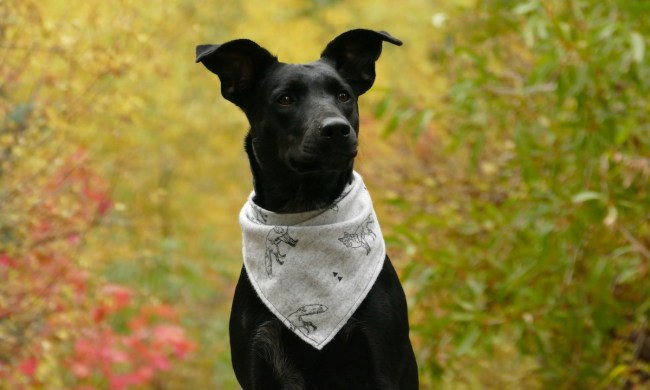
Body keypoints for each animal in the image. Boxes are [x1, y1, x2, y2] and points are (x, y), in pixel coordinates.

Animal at [195, 29, 416, 388]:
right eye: (285, 99)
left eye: (343, 95)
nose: (336, 128)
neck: (305, 209)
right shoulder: (260, 358)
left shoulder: (380, 361)